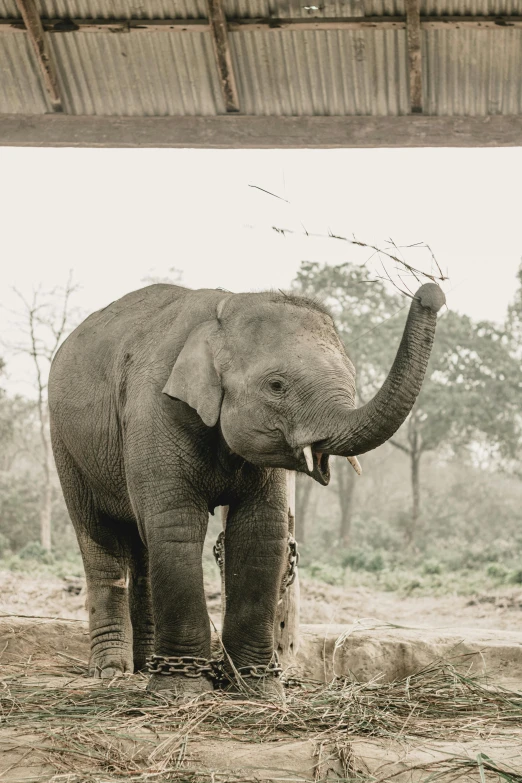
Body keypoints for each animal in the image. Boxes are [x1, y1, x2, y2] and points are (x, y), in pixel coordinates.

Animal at [48, 280, 442, 700]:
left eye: (352, 377)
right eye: (276, 386)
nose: (431, 293)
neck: (225, 309)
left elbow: (261, 532)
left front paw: (258, 689)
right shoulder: (153, 410)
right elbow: (177, 526)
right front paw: (182, 691)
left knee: (142, 548)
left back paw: (143, 667)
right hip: (65, 443)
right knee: (101, 538)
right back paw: (111, 672)